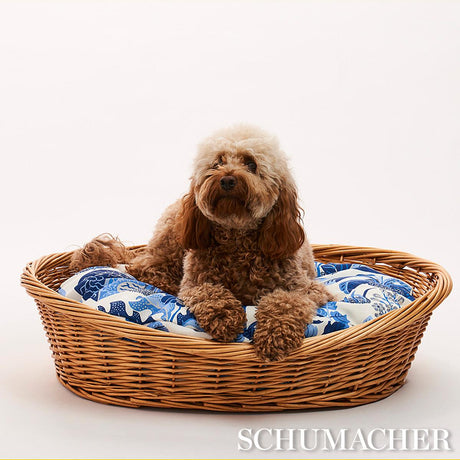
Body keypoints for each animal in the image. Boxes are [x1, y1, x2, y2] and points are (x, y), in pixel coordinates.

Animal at [70, 124, 333, 361]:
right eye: (217, 162)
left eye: (251, 164)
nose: (227, 179)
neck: (238, 239)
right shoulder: (194, 283)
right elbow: (209, 292)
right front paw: (226, 318)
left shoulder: (308, 289)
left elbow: (284, 303)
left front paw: (274, 336)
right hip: (171, 239)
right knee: (143, 267)